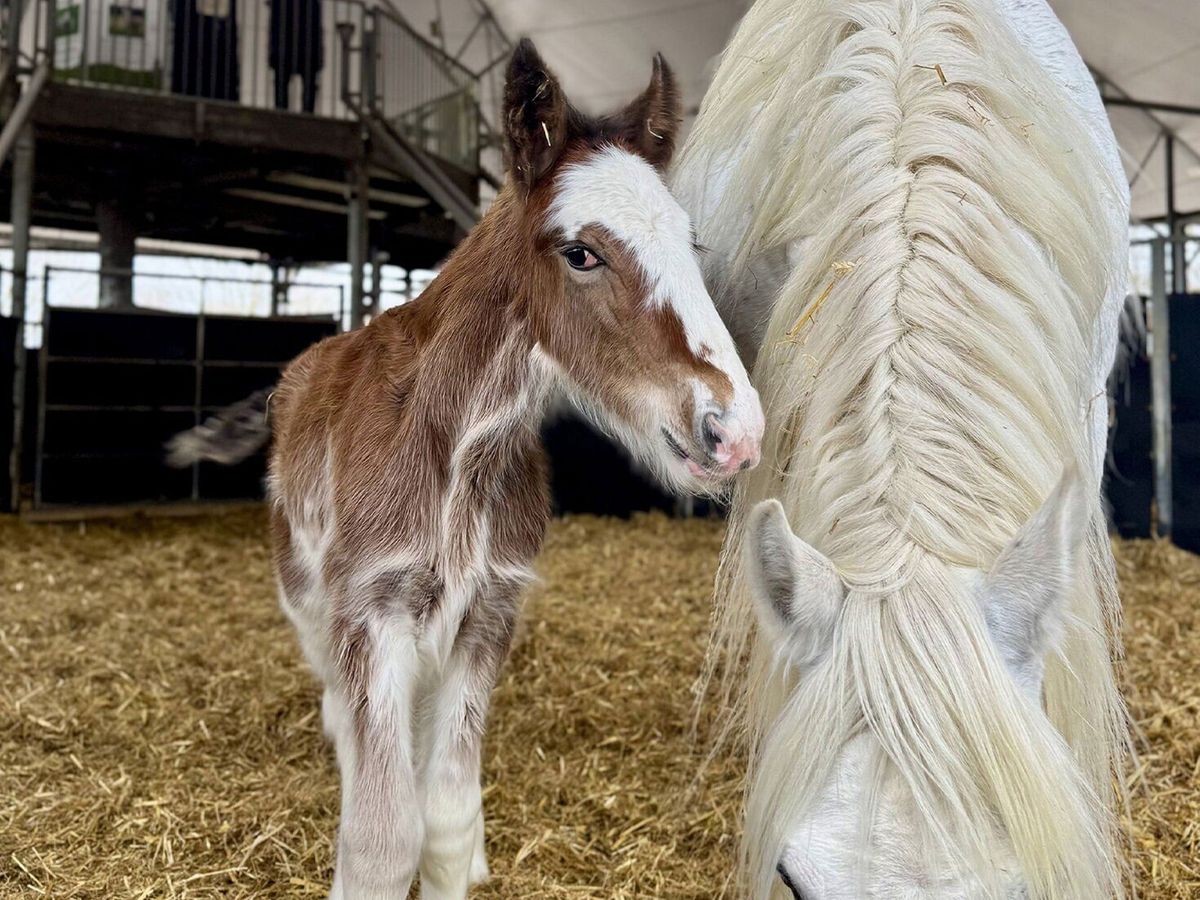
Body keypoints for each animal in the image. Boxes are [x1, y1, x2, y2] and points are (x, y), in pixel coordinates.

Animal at [168, 39, 764, 899]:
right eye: (581, 253)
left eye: (690, 245)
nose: (734, 431)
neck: (458, 453)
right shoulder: (370, 612)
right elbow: (382, 838)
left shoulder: (488, 613)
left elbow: (446, 823)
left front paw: (464, 852)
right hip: (308, 598)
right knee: (341, 714)